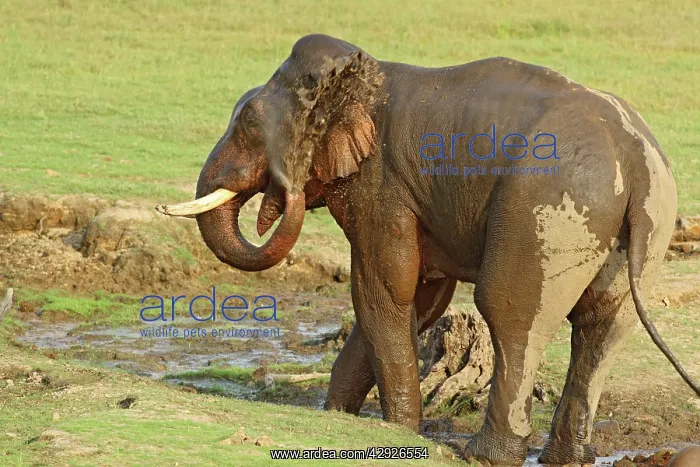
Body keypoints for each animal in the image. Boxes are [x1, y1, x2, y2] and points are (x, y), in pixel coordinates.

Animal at [156, 34, 700, 465]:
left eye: (249, 120)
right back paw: (564, 458)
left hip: (544, 210)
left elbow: (382, 291)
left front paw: (397, 433)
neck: (360, 74)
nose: (280, 191)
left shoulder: (382, 185)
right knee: (603, 326)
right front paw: (338, 419)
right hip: (645, 226)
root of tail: (634, 155)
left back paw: (485, 455)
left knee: (510, 312)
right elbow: (419, 297)